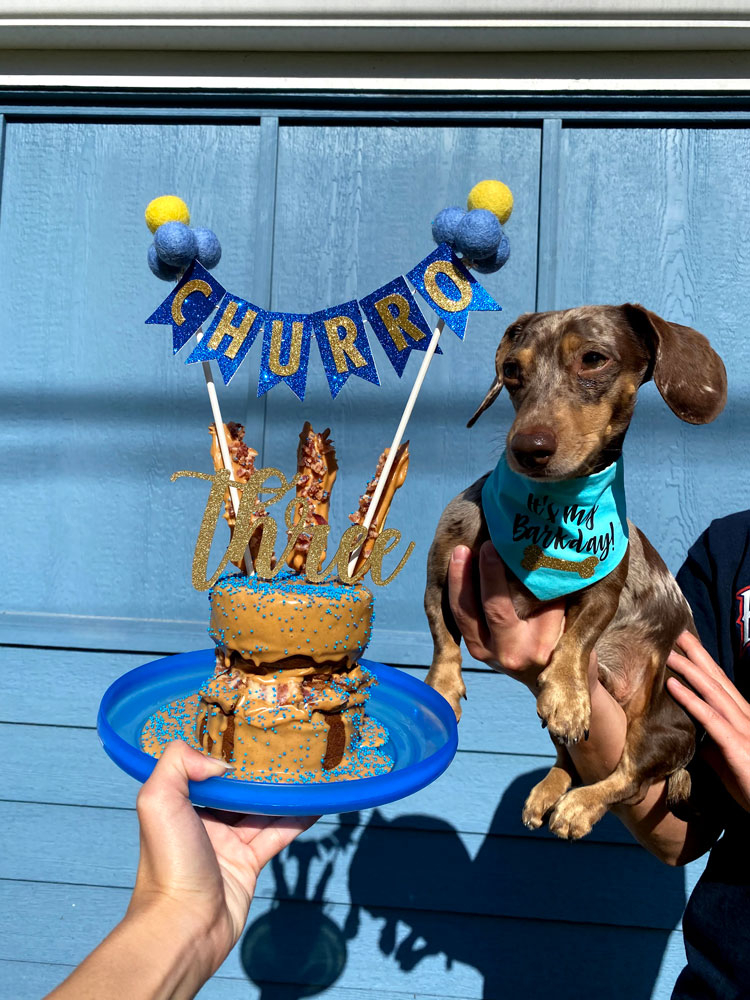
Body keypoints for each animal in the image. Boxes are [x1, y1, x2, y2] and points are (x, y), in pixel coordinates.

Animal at [428, 304, 728, 836]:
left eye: (593, 359)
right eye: (511, 370)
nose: (528, 448)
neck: (553, 513)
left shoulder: (602, 592)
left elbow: (578, 638)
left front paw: (568, 695)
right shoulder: (440, 570)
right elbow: (443, 638)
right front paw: (442, 688)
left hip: (661, 728)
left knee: (628, 778)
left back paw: (578, 806)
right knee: (572, 759)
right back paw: (549, 789)